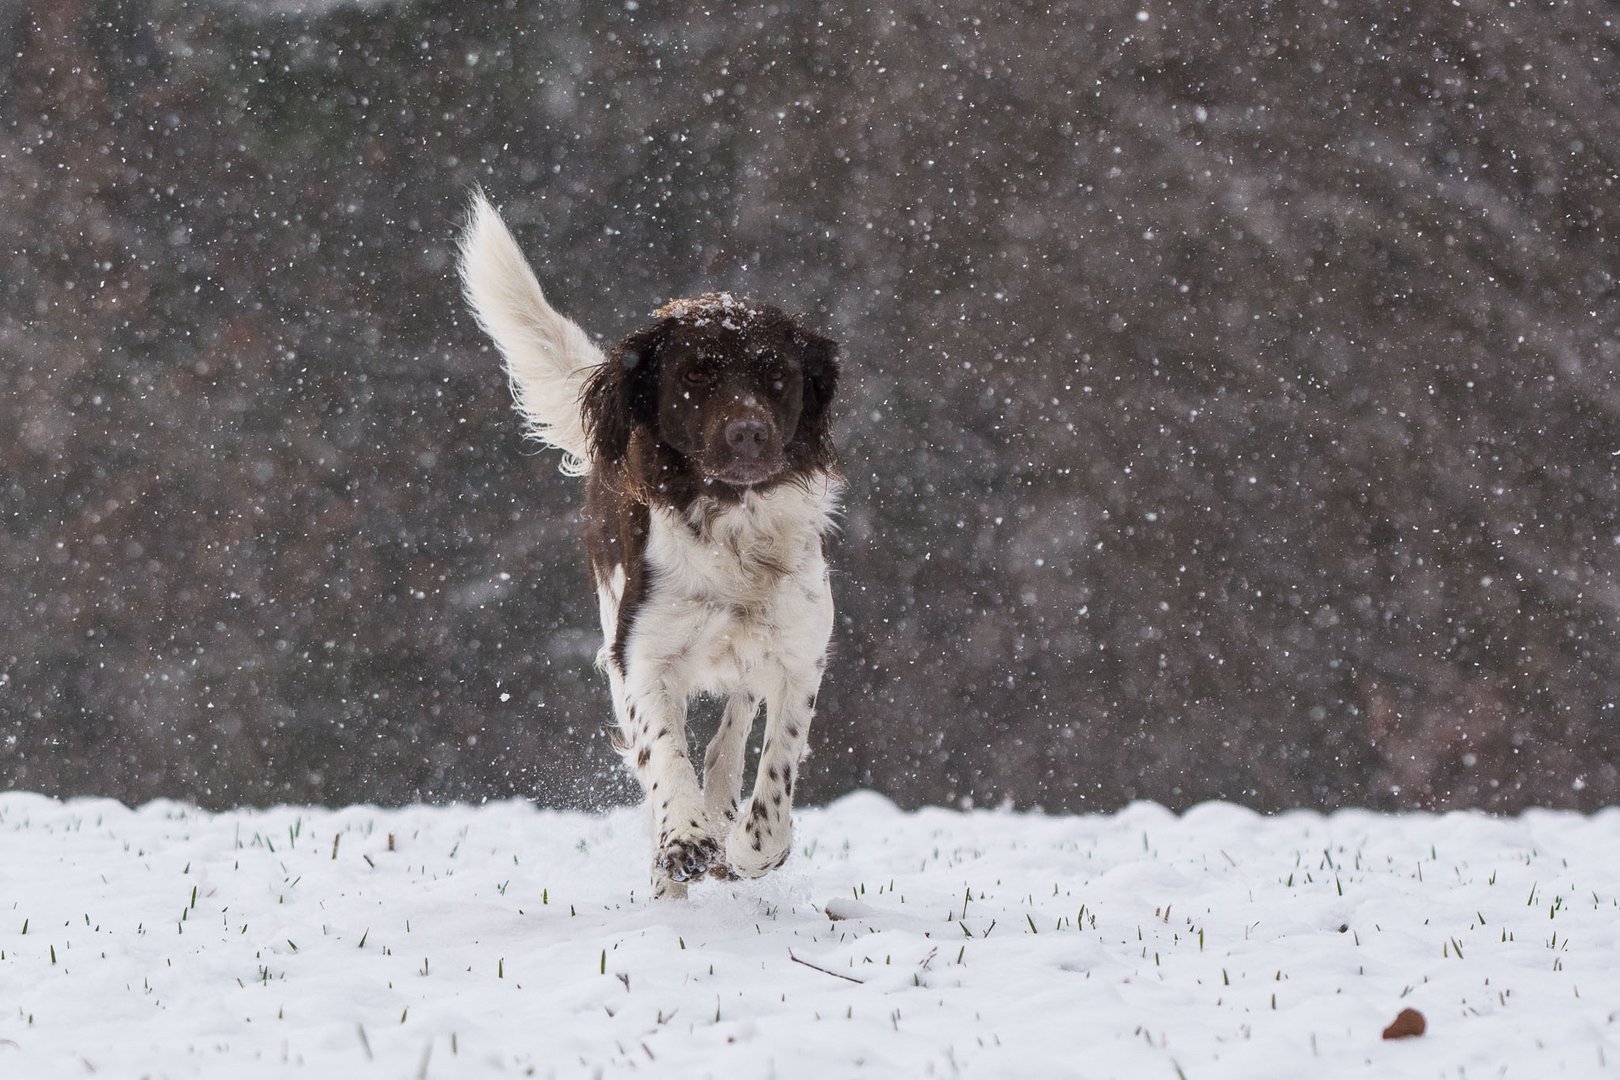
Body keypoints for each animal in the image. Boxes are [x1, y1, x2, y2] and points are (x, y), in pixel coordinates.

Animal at [453, 191, 842, 893]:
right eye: (697, 375)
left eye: (775, 373)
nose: (748, 434)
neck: (729, 522)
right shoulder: (640, 657)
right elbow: (663, 753)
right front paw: (684, 839)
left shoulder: (800, 656)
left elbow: (773, 782)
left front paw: (746, 848)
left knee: (728, 734)